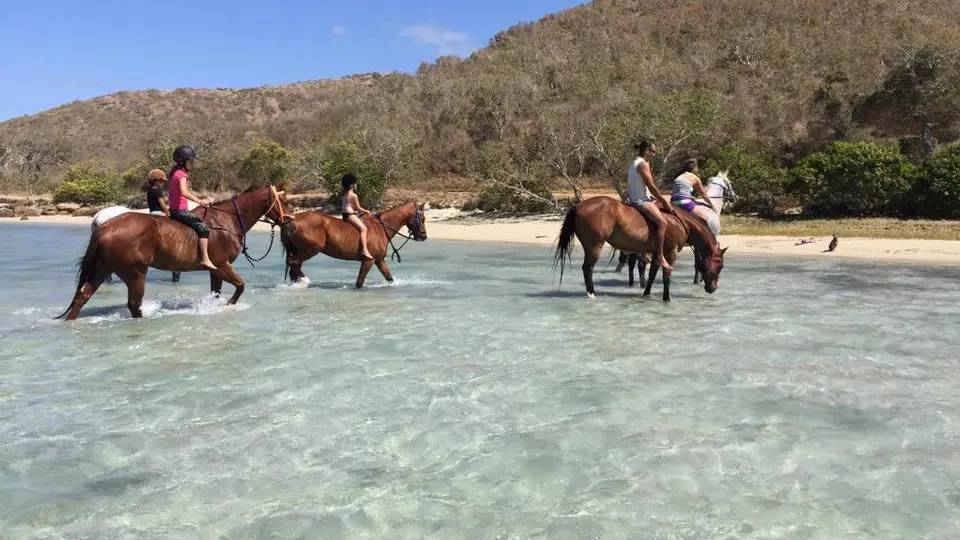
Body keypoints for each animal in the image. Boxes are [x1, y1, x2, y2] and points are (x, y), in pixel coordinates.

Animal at [53, 186, 288, 320]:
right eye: (284, 202)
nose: (288, 222)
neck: (226, 221)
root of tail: (104, 226)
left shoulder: (215, 270)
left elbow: (217, 292)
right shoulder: (222, 265)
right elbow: (240, 287)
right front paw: (229, 305)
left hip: (103, 269)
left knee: (83, 296)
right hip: (135, 273)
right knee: (133, 304)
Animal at [278, 200, 428, 288]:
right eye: (422, 218)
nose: (424, 236)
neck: (381, 227)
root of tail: (291, 220)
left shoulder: (379, 260)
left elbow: (389, 277)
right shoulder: (368, 260)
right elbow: (359, 283)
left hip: (301, 251)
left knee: (294, 267)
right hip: (309, 251)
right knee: (293, 263)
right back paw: (303, 281)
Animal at [552, 196, 724, 302]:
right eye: (721, 266)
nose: (713, 288)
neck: (679, 222)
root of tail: (579, 205)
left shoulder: (658, 254)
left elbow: (652, 274)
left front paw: (646, 294)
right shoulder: (670, 253)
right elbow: (666, 275)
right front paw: (667, 299)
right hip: (595, 246)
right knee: (587, 268)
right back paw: (591, 295)